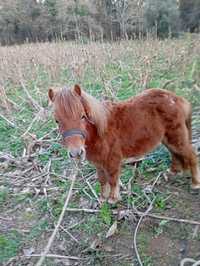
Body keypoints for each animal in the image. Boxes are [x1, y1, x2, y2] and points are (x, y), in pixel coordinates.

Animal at [48, 84, 200, 203]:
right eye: (57, 120)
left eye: (82, 116)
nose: (76, 153)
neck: (100, 132)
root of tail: (177, 99)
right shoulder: (98, 163)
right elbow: (102, 179)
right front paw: (102, 198)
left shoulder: (113, 159)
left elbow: (113, 178)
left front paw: (113, 199)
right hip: (167, 139)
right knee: (175, 153)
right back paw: (173, 172)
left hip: (177, 138)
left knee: (191, 155)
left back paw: (195, 184)